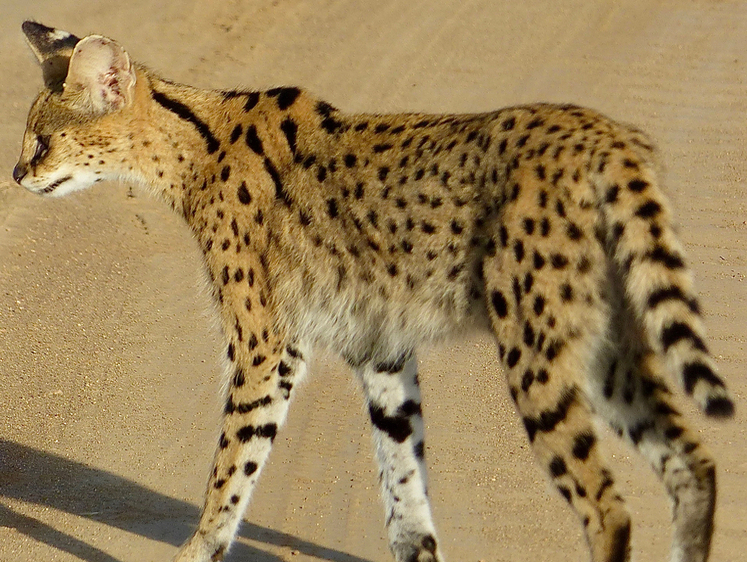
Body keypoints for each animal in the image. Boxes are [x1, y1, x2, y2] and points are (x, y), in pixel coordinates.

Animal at [13, 20, 736, 560]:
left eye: (43, 141)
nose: (17, 175)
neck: (191, 146)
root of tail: (603, 131)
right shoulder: (381, 353)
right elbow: (404, 491)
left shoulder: (265, 349)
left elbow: (230, 472)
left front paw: (197, 551)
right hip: (608, 345)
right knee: (694, 463)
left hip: (535, 345)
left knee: (607, 505)